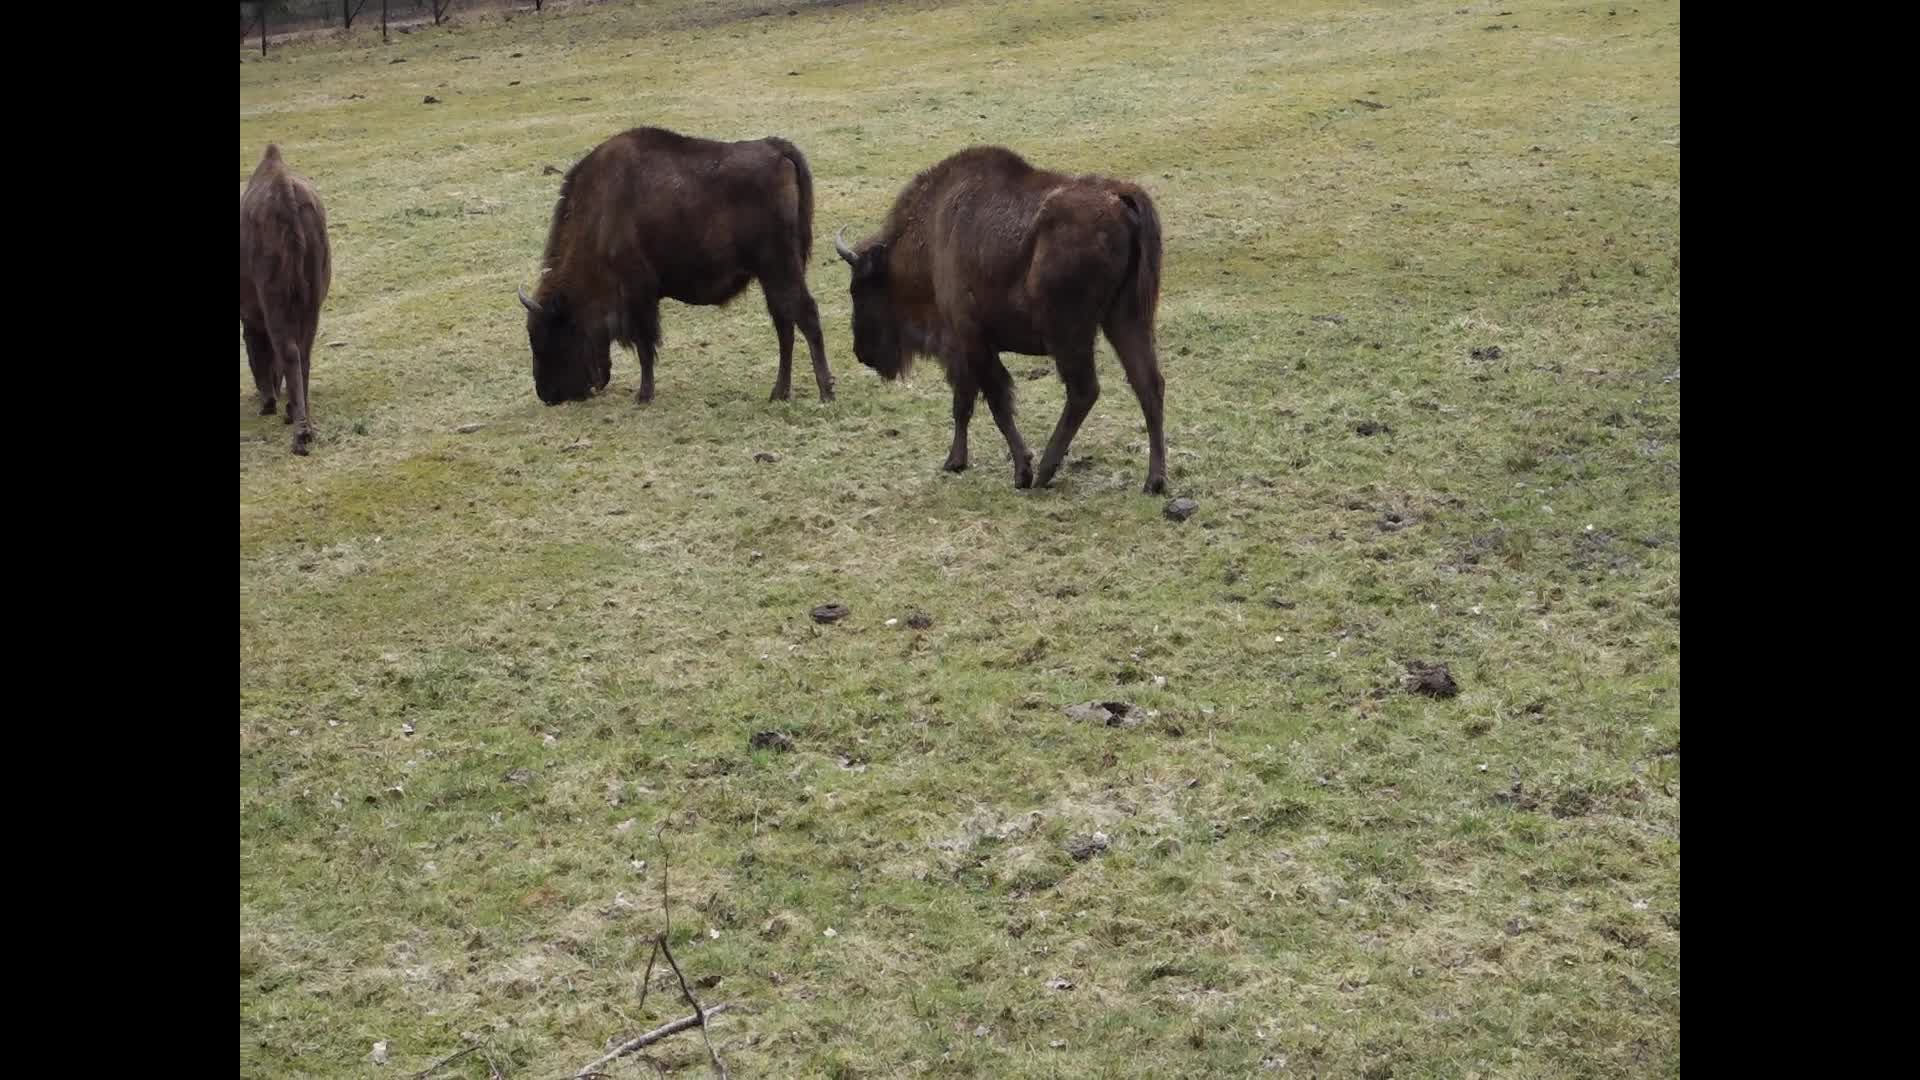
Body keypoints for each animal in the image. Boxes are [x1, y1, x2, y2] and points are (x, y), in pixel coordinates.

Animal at [240, 144, 332, 455]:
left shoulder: (252, 316)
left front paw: (267, 403)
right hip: (311, 303)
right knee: (303, 353)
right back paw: (299, 417)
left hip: (275, 301)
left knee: (289, 351)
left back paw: (299, 433)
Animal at [518, 127, 835, 406]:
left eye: (549, 338)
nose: (547, 396)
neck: (600, 218)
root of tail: (777, 149)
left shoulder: (639, 296)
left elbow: (645, 347)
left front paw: (644, 396)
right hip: (772, 277)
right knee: (785, 325)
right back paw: (779, 393)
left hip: (780, 270)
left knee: (806, 316)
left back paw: (826, 394)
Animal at [834, 146, 1168, 493]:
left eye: (859, 290)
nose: (862, 353)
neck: (932, 235)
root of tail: (1119, 197)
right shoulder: (963, 349)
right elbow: (964, 403)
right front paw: (955, 461)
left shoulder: (972, 340)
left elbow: (996, 402)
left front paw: (1022, 470)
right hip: (1127, 319)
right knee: (1148, 384)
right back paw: (1154, 481)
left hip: (1069, 334)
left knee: (1084, 390)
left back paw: (1046, 471)